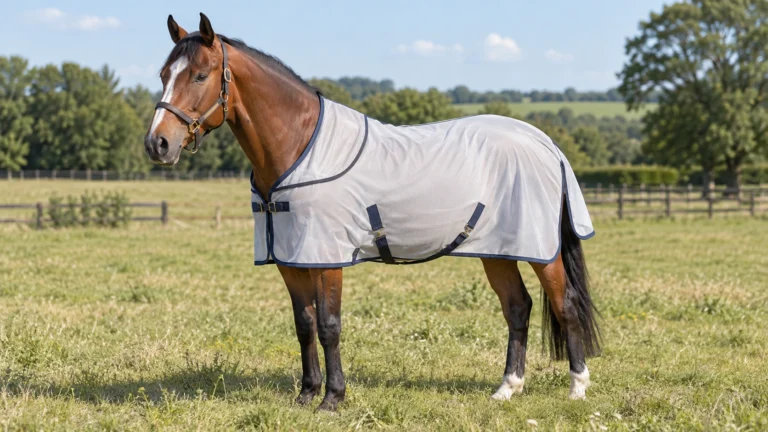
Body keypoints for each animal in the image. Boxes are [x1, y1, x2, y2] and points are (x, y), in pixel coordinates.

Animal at [144, 13, 601, 411]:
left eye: (199, 75)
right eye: (164, 75)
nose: (158, 144)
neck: (298, 145)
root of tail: (545, 143)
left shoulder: (327, 259)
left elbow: (329, 326)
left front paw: (332, 399)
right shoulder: (291, 260)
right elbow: (304, 324)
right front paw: (306, 395)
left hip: (542, 251)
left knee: (565, 303)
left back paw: (577, 388)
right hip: (496, 250)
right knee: (518, 308)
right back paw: (508, 388)